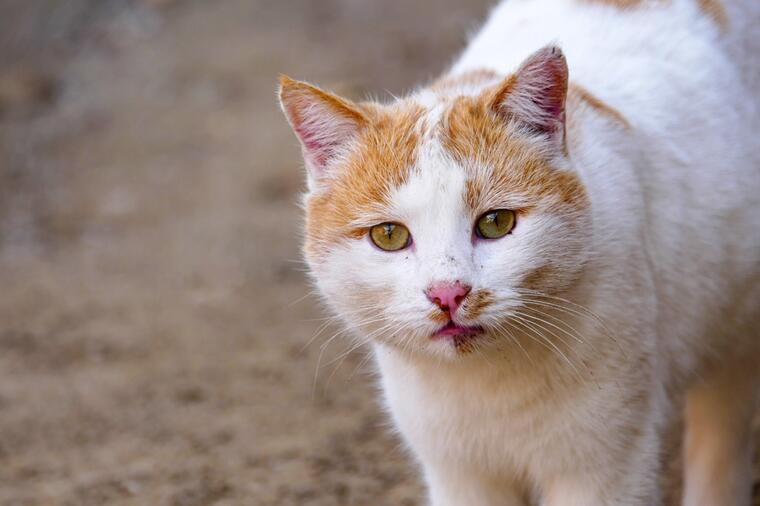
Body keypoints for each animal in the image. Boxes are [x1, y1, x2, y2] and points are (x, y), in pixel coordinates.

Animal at [276, 0, 760, 502]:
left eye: (496, 223)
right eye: (388, 235)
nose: (448, 293)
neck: (484, 382)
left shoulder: (605, 471)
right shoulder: (458, 472)